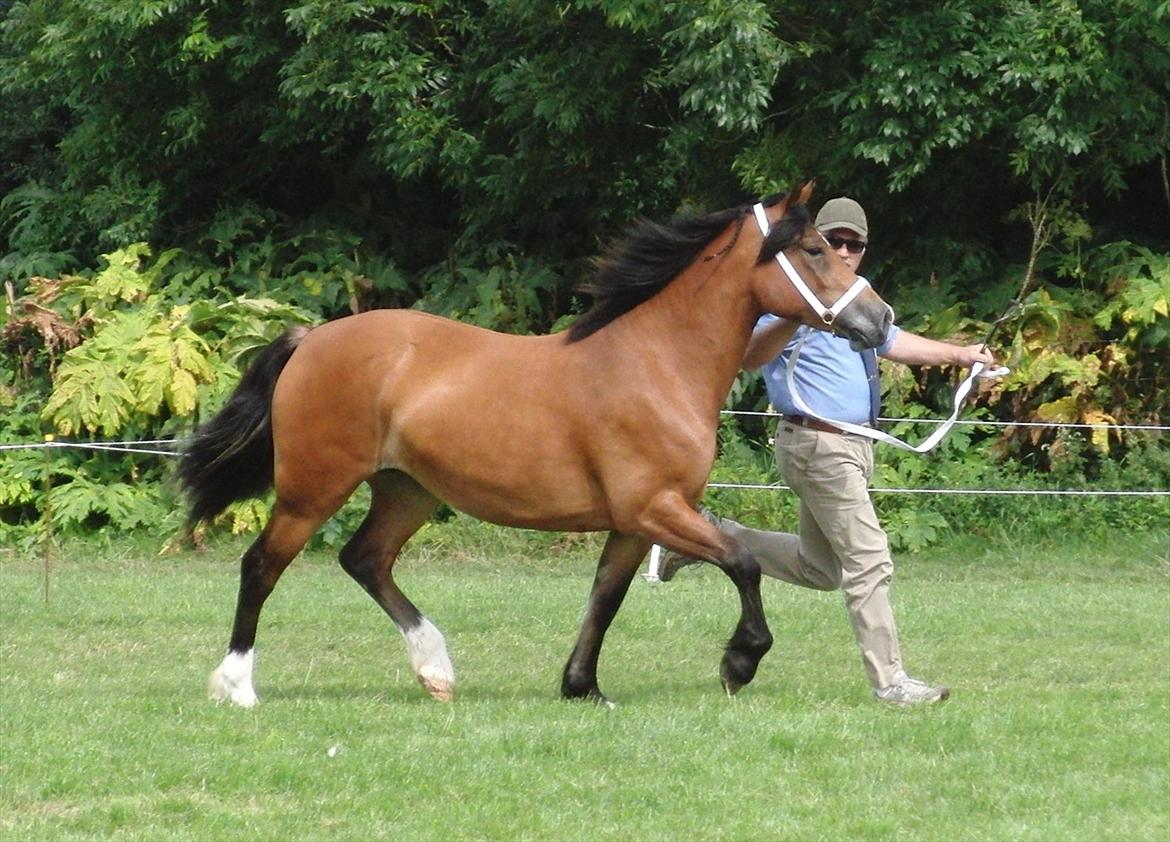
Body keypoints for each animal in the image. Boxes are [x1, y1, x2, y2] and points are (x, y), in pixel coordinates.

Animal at [177, 181, 889, 706]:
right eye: (817, 250)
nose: (879, 320)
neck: (656, 362)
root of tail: (312, 339)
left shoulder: (634, 523)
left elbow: (606, 597)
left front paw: (582, 688)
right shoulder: (654, 508)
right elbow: (741, 561)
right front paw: (740, 662)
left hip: (407, 490)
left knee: (366, 560)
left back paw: (436, 670)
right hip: (315, 487)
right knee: (263, 566)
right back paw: (237, 685)